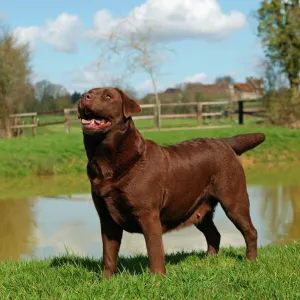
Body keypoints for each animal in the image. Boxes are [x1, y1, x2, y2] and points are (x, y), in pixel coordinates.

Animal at [77, 88, 264, 278]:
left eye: (108, 96)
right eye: (89, 92)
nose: (84, 96)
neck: (105, 159)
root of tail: (225, 141)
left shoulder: (148, 215)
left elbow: (154, 251)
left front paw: (157, 278)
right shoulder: (106, 218)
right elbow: (108, 254)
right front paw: (106, 280)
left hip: (234, 200)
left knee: (250, 231)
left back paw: (250, 261)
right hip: (199, 209)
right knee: (214, 234)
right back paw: (208, 261)